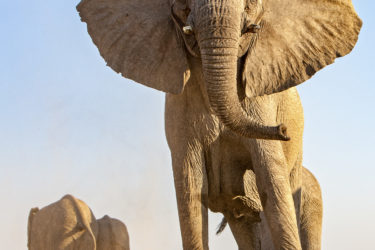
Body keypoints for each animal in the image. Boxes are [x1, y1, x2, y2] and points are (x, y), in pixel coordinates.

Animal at [76, 0, 362, 249]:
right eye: (182, 4)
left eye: (250, 4)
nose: (283, 130)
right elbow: (190, 193)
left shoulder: (261, 104)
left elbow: (273, 188)